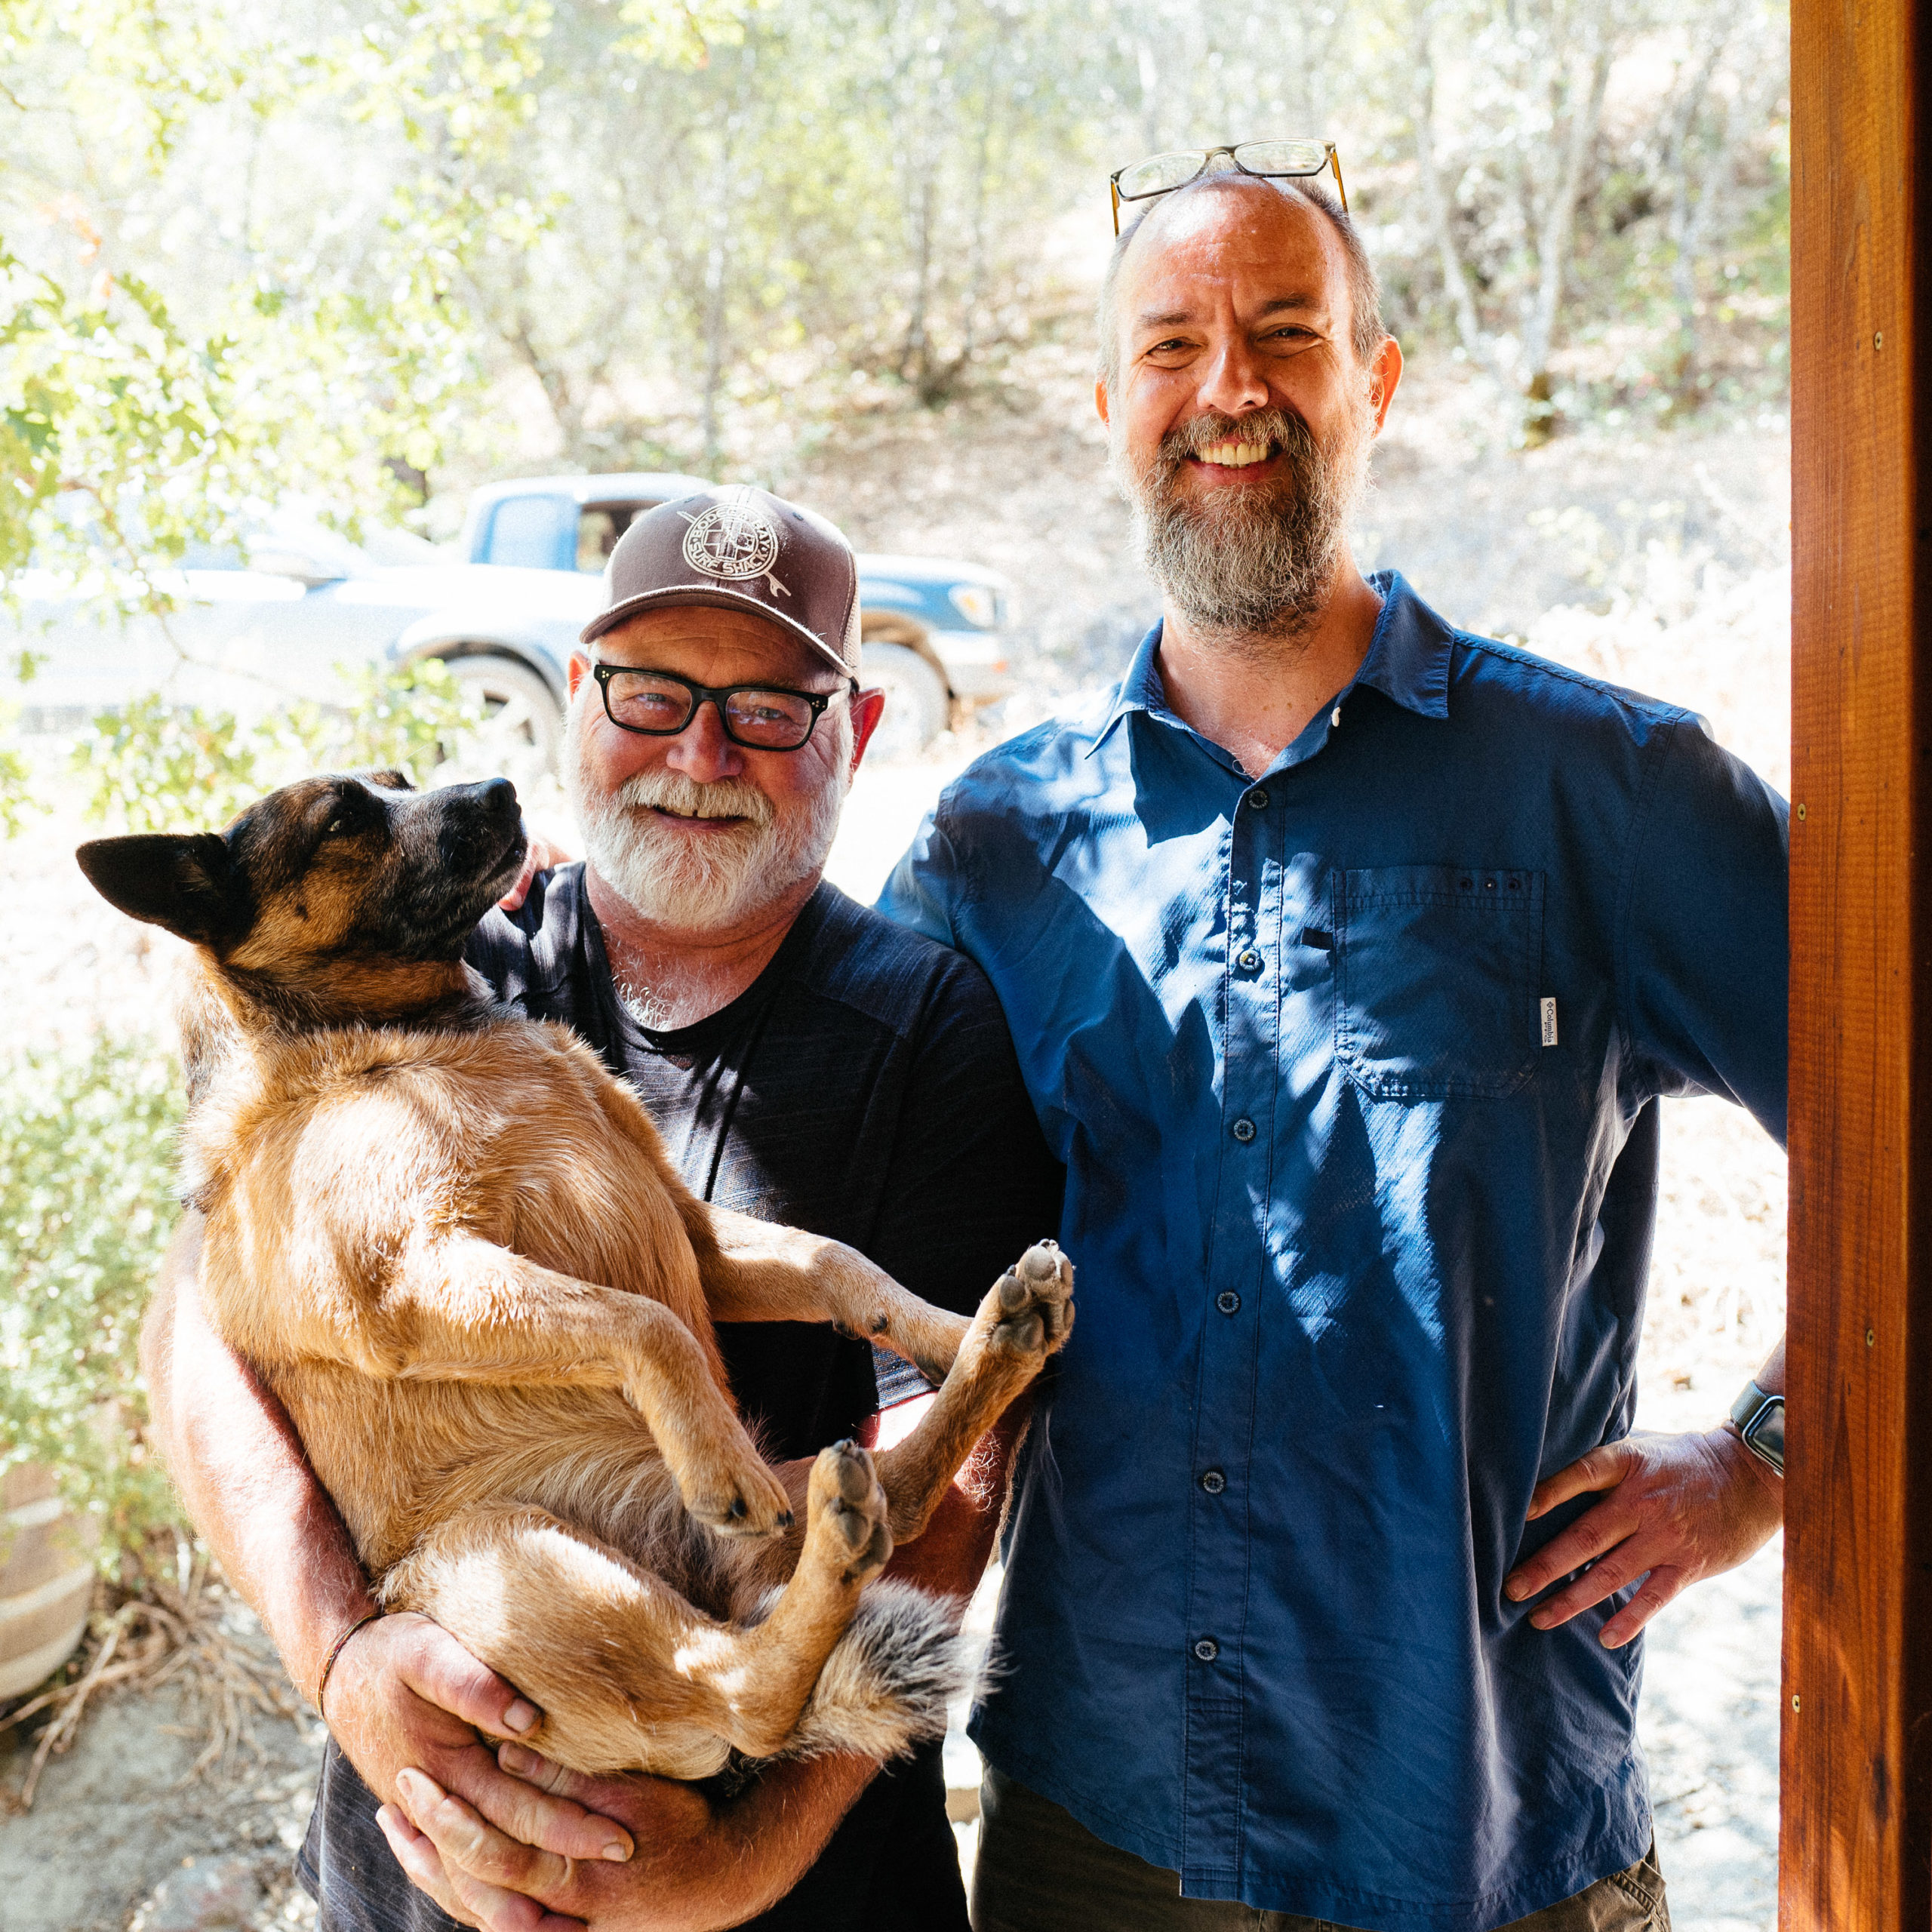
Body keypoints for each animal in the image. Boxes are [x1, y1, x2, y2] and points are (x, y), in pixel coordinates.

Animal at [78, 768, 1074, 1777]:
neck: (409, 1029)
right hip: (506, 1553)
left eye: (400, 781)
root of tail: (724, 1588)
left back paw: (996, 1343)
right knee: (746, 1688)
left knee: (895, 1500)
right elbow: (647, 1323)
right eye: (343, 818)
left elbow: (840, 1266)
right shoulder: (406, 1284)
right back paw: (833, 1533)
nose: (500, 787)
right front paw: (714, 1455)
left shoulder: (696, 1241)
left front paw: (945, 1328)